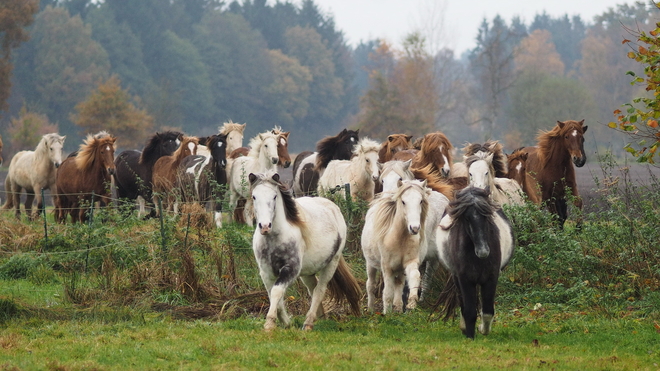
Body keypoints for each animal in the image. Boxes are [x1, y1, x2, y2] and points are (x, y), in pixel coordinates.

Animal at [248, 171, 360, 332]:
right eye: (254, 196)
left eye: (274, 196)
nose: (264, 226)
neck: (275, 238)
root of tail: (334, 208)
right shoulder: (266, 272)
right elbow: (273, 295)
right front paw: (286, 323)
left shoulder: (290, 269)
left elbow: (277, 291)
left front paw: (269, 324)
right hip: (307, 272)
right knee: (312, 289)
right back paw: (319, 317)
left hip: (331, 264)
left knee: (319, 290)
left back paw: (308, 323)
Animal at [360, 180, 434, 314]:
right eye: (403, 201)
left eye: (421, 201)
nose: (414, 228)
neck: (400, 240)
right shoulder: (387, 269)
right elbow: (387, 293)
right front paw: (387, 314)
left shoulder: (410, 263)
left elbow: (415, 276)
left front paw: (411, 303)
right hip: (370, 264)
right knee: (371, 285)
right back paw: (371, 310)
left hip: (400, 270)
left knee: (399, 284)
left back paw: (398, 308)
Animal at [436, 189, 520, 340]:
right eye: (466, 218)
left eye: (486, 217)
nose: (483, 251)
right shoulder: (465, 279)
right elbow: (469, 310)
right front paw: (470, 336)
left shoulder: (491, 278)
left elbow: (487, 311)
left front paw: (482, 329)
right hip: (457, 279)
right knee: (463, 303)